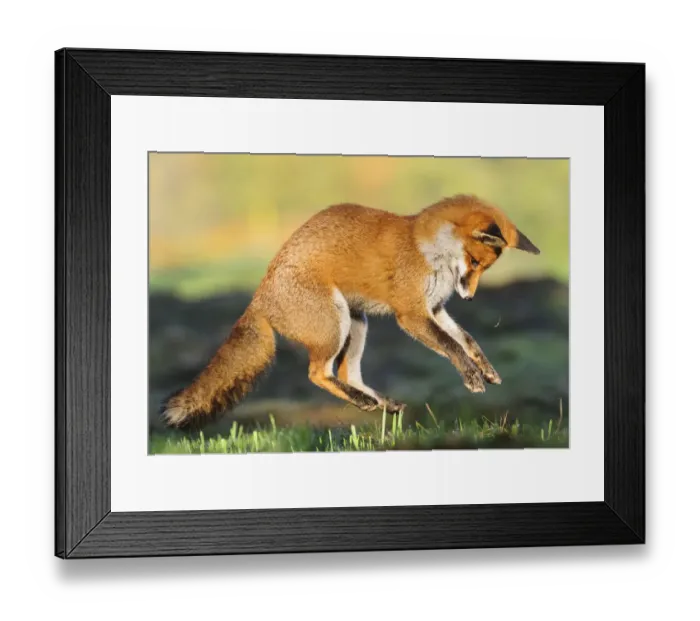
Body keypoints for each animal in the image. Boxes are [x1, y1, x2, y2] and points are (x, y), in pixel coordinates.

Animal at [162, 194, 540, 429]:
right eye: (474, 262)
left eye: (484, 269)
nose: (471, 298)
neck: (428, 250)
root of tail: (260, 296)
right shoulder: (411, 313)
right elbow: (451, 347)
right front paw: (472, 377)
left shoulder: (435, 308)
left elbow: (467, 340)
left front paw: (486, 369)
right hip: (336, 323)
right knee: (317, 373)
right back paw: (364, 401)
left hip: (357, 325)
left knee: (345, 374)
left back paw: (379, 402)